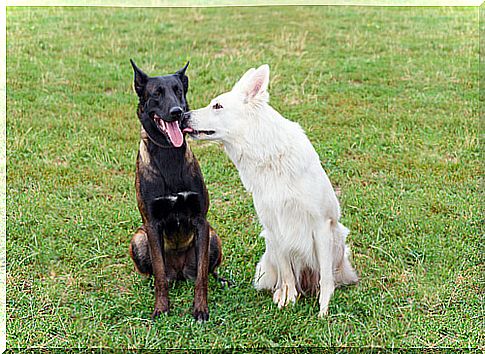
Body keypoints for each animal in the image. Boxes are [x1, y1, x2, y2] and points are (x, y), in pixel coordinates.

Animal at [127, 60, 224, 320]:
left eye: (178, 91)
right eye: (156, 94)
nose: (177, 112)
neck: (169, 154)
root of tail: (180, 272)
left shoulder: (201, 221)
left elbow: (201, 276)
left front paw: (200, 308)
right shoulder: (151, 225)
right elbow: (160, 274)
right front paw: (161, 307)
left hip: (213, 236)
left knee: (208, 270)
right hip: (138, 238)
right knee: (156, 274)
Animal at [183, 63, 358, 316]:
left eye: (217, 106)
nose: (182, 115)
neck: (267, 156)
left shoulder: (321, 226)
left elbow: (325, 277)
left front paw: (324, 309)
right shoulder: (275, 227)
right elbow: (287, 274)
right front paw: (288, 299)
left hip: (337, 240)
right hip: (268, 253)